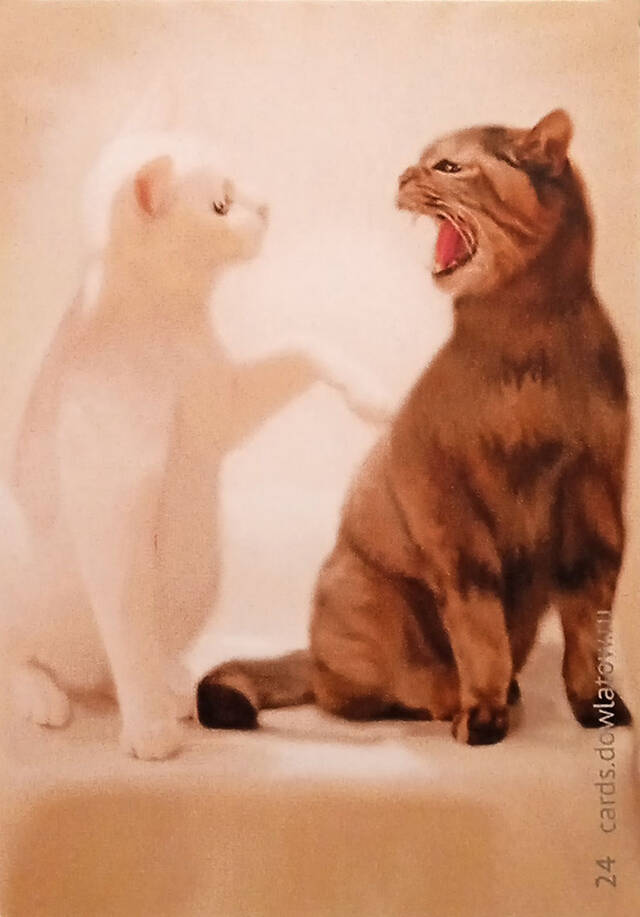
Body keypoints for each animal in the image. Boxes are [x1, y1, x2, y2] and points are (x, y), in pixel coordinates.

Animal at [0, 132, 392, 760]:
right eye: (221, 205)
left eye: (237, 189)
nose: (266, 206)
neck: (172, 328)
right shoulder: (114, 516)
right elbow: (128, 627)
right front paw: (148, 733)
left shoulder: (224, 407)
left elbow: (304, 344)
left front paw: (372, 396)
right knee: (30, 657)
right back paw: (48, 696)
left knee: (127, 659)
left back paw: (174, 685)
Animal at [197, 109, 632, 745]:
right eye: (423, 162)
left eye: (448, 166)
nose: (403, 175)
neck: (530, 346)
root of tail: (312, 651)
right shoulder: (454, 518)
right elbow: (479, 630)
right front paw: (482, 713)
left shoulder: (593, 505)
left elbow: (587, 630)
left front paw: (596, 706)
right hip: (372, 597)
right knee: (358, 692)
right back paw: (449, 697)